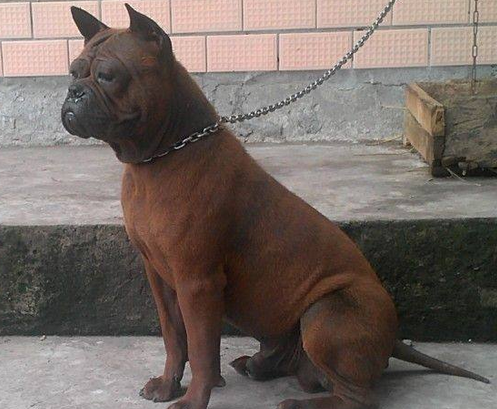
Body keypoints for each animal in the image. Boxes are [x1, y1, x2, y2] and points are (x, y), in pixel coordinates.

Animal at [62, 5, 489, 409]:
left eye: (108, 75)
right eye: (73, 71)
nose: (72, 92)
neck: (157, 158)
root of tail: (393, 339)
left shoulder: (197, 283)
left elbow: (201, 351)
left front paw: (194, 399)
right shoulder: (161, 279)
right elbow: (175, 339)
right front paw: (168, 386)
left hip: (325, 313)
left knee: (359, 397)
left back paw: (298, 402)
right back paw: (260, 365)